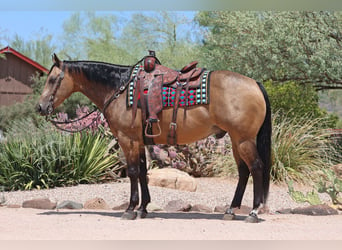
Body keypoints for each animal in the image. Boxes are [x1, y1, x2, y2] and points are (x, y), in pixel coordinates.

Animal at [36, 52, 272, 223]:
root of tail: (255, 84)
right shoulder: (140, 142)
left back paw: (254, 212)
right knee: (243, 172)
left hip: (243, 139)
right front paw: (143, 208)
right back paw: (231, 210)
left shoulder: (128, 139)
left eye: (53, 79)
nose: (40, 107)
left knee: (256, 167)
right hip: (236, 139)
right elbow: (142, 172)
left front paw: (130, 209)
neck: (119, 89)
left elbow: (132, 172)